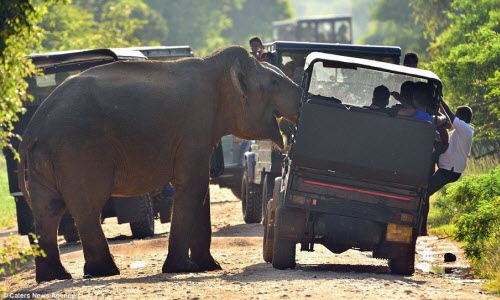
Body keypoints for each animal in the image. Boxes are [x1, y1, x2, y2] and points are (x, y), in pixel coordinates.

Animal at [18, 45, 300, 282]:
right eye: (274, 82)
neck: (215, 66)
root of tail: (34, 127)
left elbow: (200, 189)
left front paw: (209, 266)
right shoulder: (194, 126)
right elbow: (193, 185)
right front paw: (181, 268)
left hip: (46, 160)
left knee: (48, 210)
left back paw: (55, 276)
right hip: (78, 151)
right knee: (86, 206)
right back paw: (104, 272)